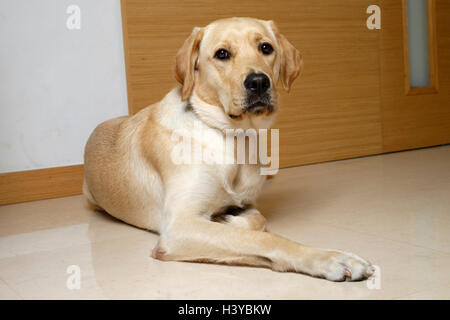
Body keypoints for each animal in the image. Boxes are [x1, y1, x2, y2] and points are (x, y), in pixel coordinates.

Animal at [82, 18, 374, 282]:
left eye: (266, 47)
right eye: (222, 54)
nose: (258, 82)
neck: (234, 139)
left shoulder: (247, 203)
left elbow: (258, 220)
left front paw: (228, 218)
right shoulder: (179, 226)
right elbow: (262, 240)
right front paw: (331, 258)